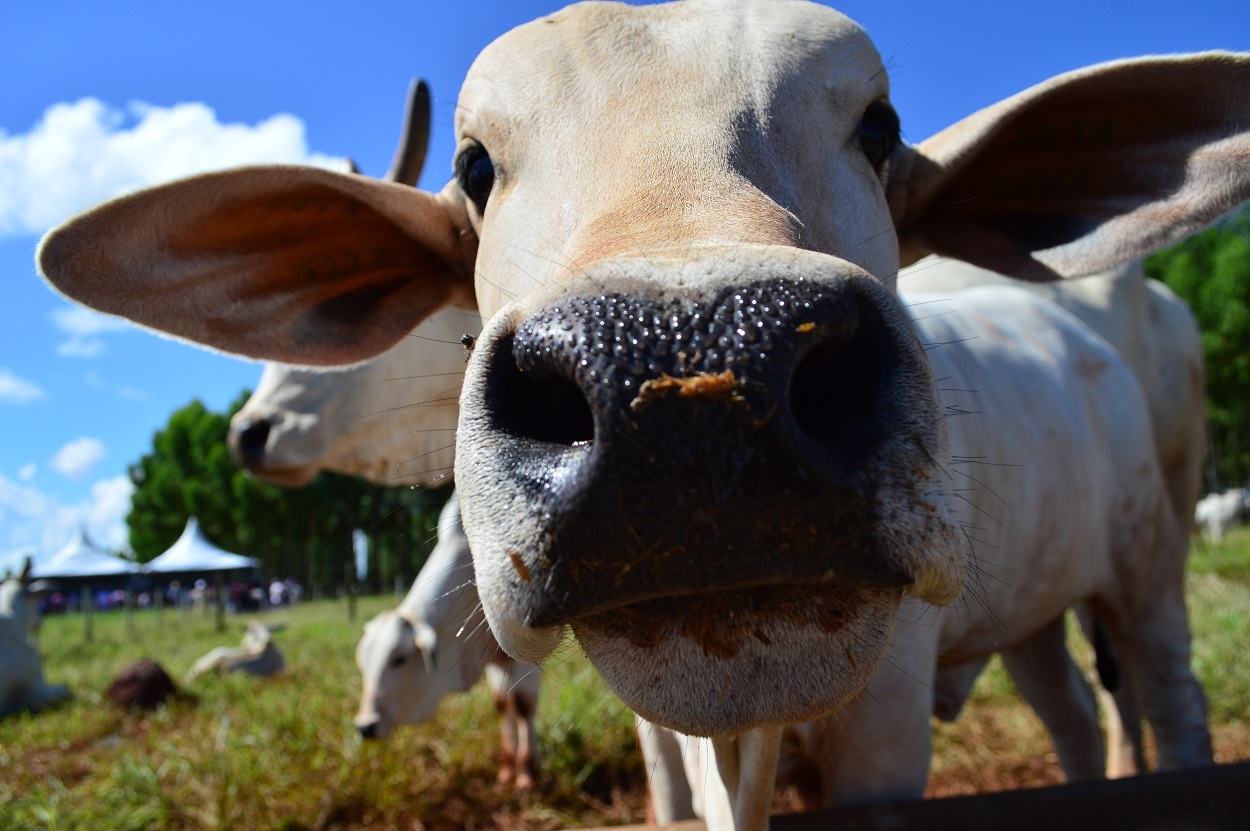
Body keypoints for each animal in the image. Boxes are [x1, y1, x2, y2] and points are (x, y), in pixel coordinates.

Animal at [355, 489, 545, 789]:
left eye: (399, 659)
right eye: (363, 663)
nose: (365, 726)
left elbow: (523, 706)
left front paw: (526, 774)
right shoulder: (494, 656)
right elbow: (503, 705)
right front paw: (508, 770)